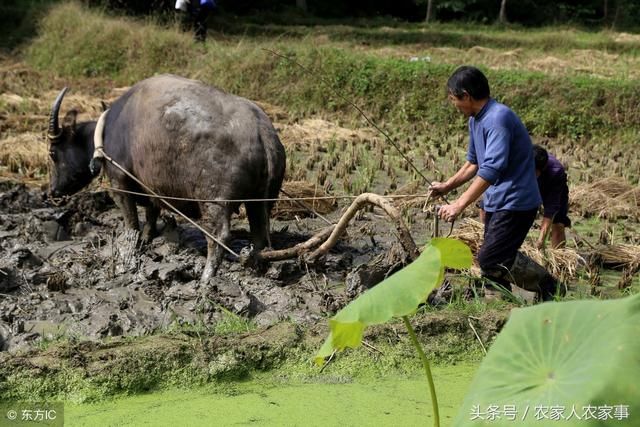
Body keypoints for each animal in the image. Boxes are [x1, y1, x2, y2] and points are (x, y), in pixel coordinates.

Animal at [50, 74, 288, 280]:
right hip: (261, 200)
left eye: (53, 152)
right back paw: (255, 265)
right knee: (260, 233)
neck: (107, 130)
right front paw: (146, 239)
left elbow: (131, 223)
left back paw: (206, 278)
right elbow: (151, 214)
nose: (52, 191)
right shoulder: (151, 187)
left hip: (214, 202)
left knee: (219, 236)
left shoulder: (120, 183)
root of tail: (261, 130)